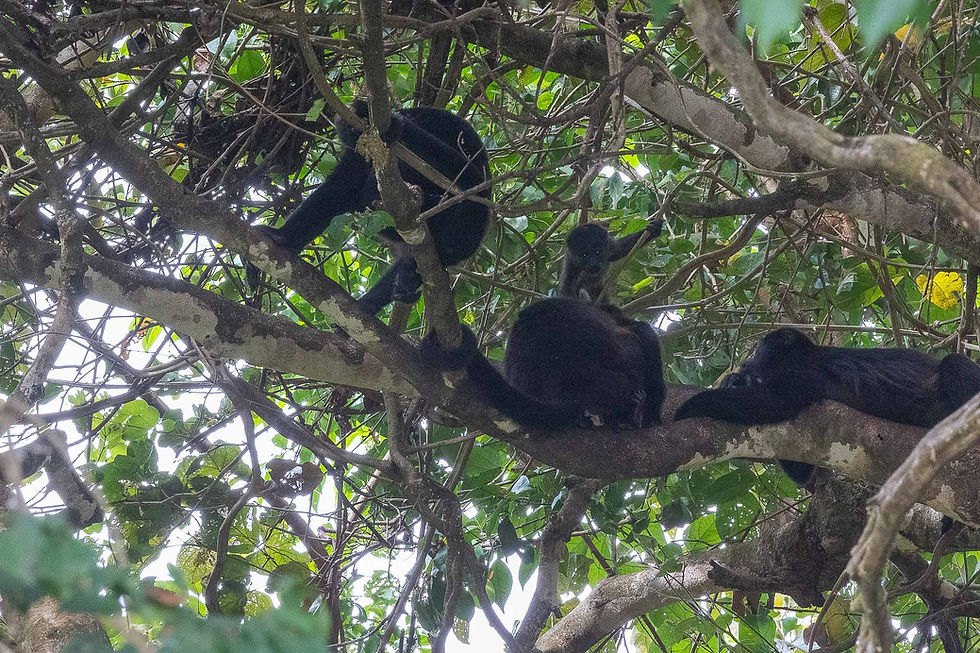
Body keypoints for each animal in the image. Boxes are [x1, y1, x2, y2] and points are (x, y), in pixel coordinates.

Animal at [674, 328, 980, 484]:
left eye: (760, 346)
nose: (746, 360)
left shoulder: (803, 373)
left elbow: (773, 403)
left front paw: (691, 405)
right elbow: (801, 472)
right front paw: (736, 380)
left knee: (953, 363)